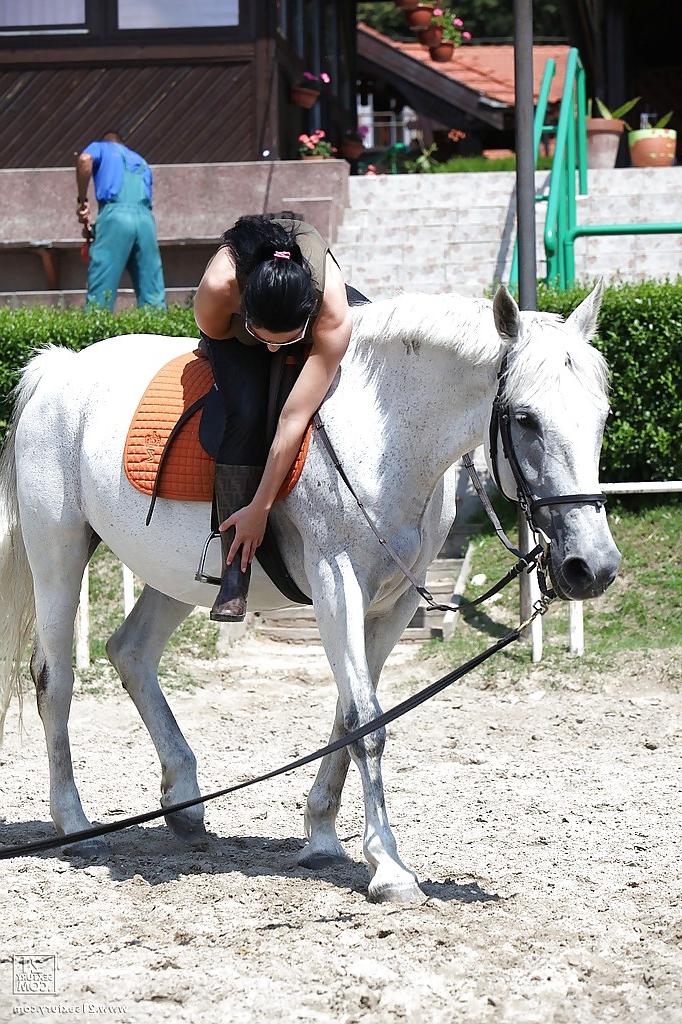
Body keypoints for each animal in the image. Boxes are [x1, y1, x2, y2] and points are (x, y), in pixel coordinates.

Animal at [0, 284, 620, 903]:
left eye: (603, 417)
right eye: (526, 419)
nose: (591, 566)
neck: (383, 428)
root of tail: (60, 368)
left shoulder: (395, 603)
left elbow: (351, 717)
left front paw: (323, 837)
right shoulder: (336, 582)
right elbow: (369, 722)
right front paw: (390, 868)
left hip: (174, 575)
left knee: (130, 651)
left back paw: (184, 803)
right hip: (58, 553)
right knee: (54, 679)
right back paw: (75, 825)